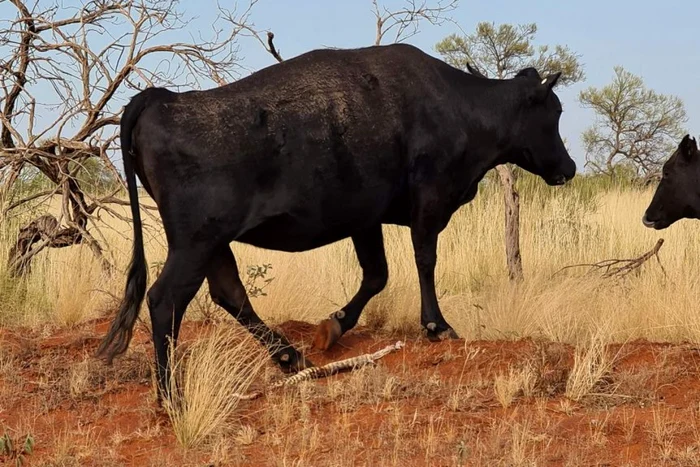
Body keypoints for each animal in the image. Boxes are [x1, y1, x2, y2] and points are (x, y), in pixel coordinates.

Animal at [98, 43, 576, 398]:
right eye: (554, 113)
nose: (568, 167)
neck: (459, 106)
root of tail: (163, 98)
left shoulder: (366, 219)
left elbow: (377, 275)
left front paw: (333, 327)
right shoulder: (429, 201)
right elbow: (424, 261)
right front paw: (437, 326)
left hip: (212, 245)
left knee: (229, 294)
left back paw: (290, 357)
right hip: (195, 243)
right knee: (165, 299)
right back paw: (169, 395)